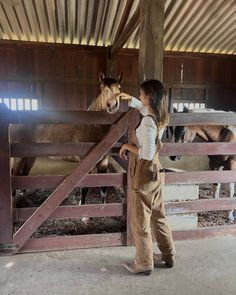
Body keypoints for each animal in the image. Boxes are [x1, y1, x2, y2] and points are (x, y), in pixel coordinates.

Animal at [10, 73, 122, 207]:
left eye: (119, 88)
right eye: (102, 88)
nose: (112, 105)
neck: (92, 126)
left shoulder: (103, 162)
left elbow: (104, 187)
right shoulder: (85, 162)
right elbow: (85, 187)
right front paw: (83, 210)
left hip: (30, 157)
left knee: (24, 176)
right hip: (18, 158)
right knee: (14, 176)